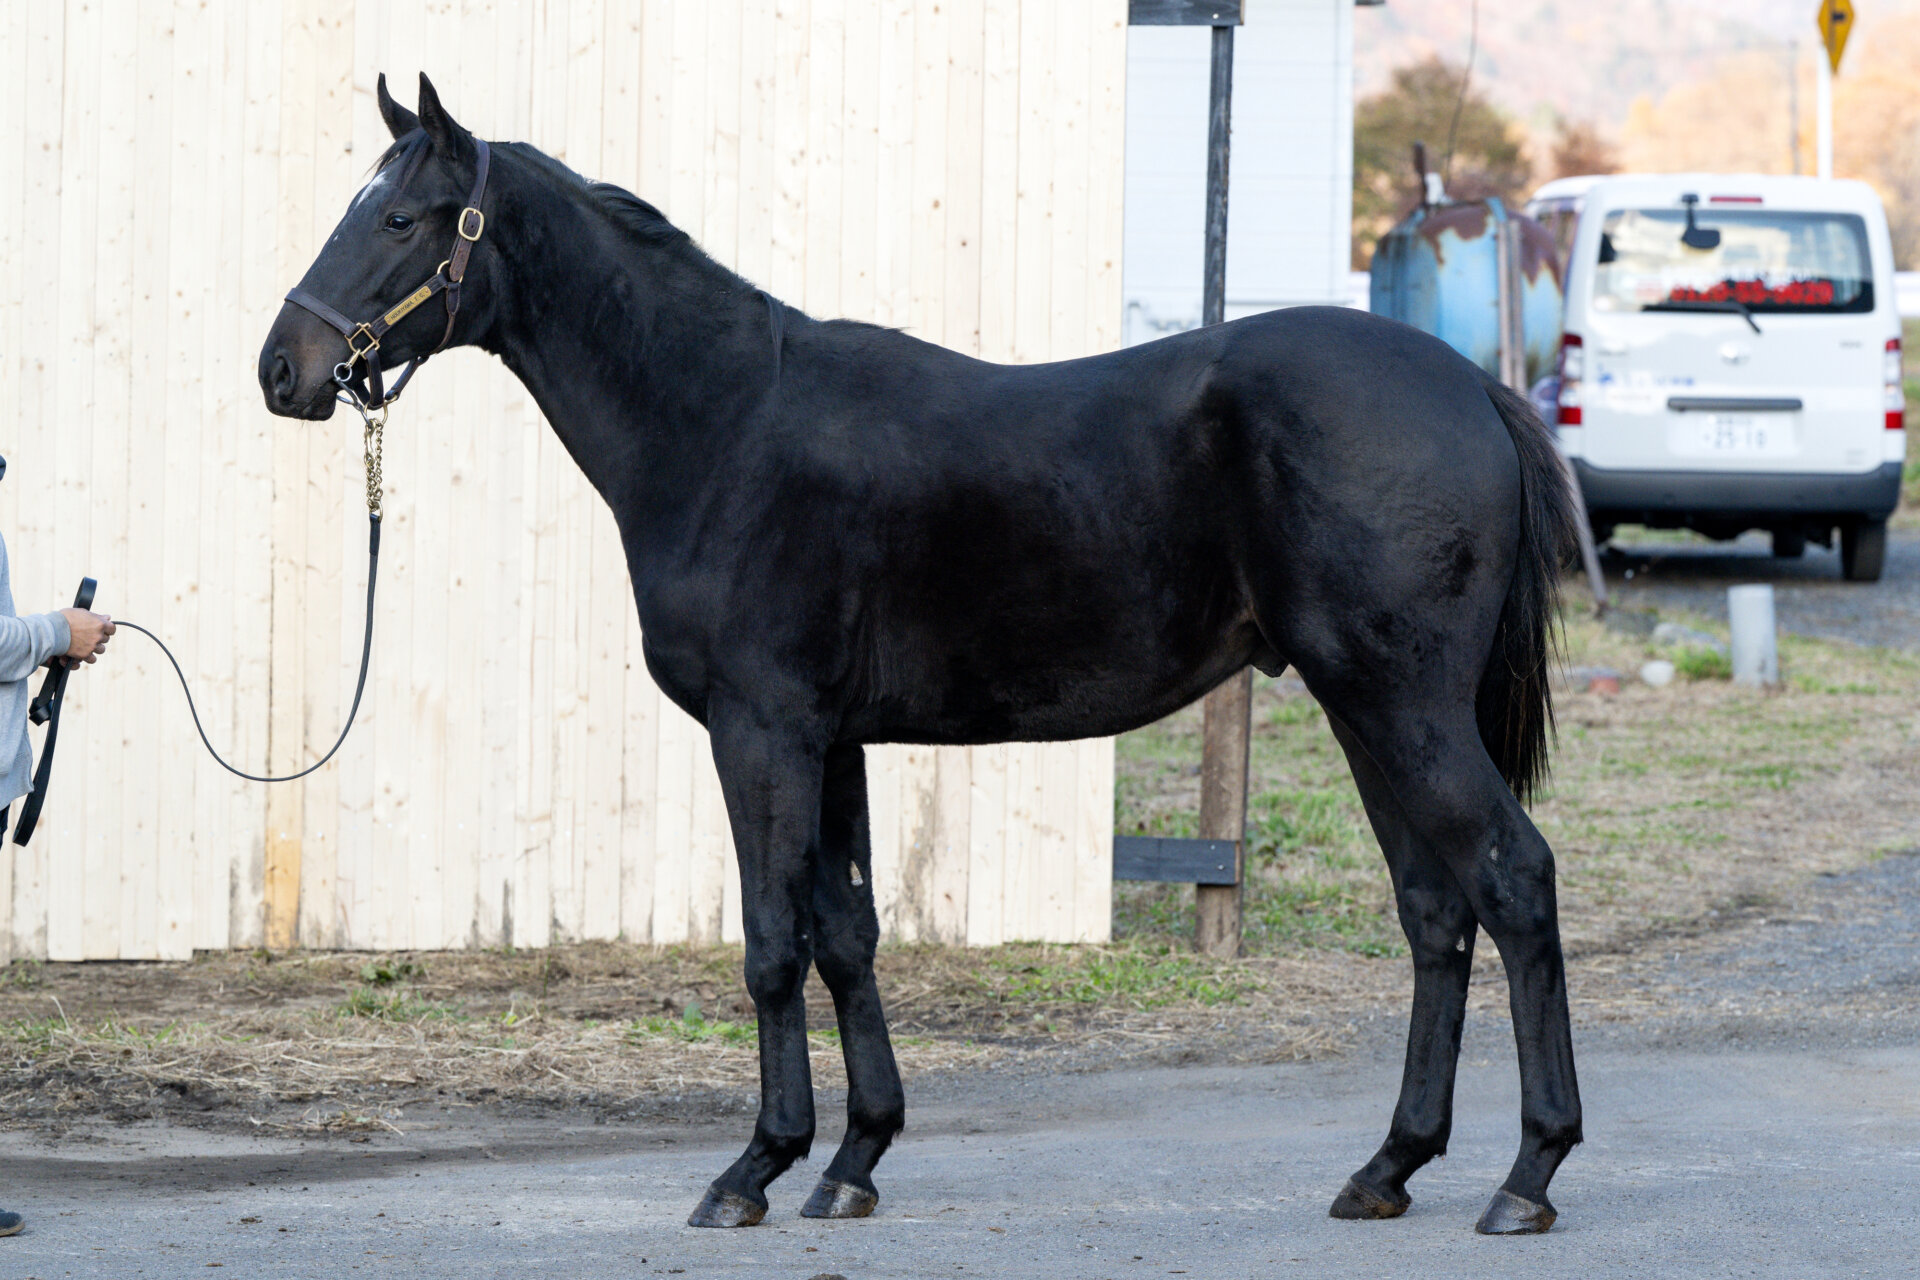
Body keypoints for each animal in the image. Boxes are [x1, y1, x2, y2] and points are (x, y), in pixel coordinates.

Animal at [260, 74, 1584, 1236]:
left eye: (399, 217)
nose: (283, 370)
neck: (724, 422)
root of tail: (1473, 387)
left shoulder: (762, 728)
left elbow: (772, 941)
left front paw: (753, 1167)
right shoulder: (834, 737)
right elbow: (847, 934)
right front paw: (852, 1159)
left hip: (1401, 702)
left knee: (1512, 878)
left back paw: (1528, 1174)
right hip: (1367, 707)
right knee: (1435, 909)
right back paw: (1389, 1165)